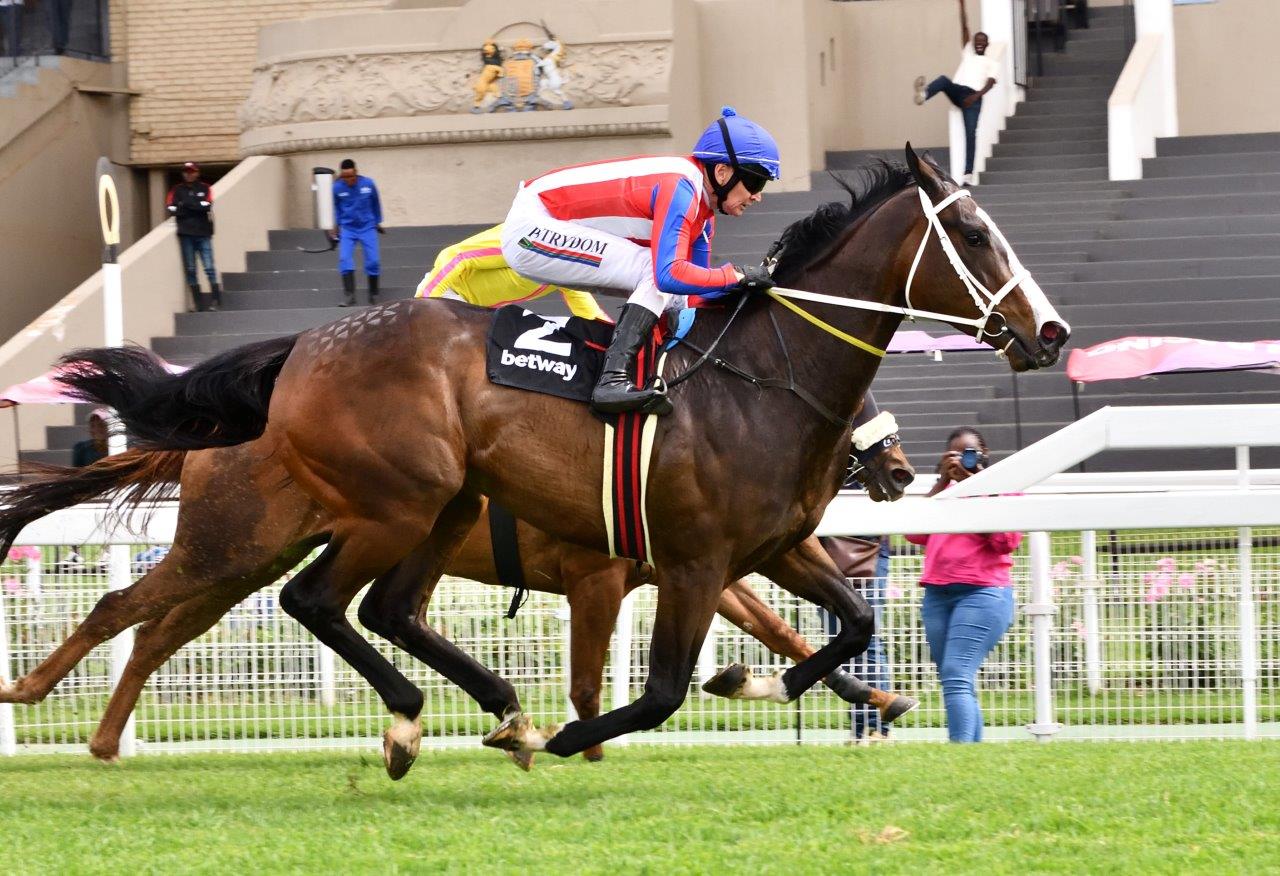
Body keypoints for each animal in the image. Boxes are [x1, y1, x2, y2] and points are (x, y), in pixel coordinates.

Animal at [0, 147, 1070, 778]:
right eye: (972, 233)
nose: (1050, 333)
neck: (761, 379)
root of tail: (297, 349)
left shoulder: (761, 550)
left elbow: (844, 626)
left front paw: (788, 689)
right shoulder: (679, 562)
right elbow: (654, 689)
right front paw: (580, 736)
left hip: (403, 517)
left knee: (358, 611)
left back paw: (483, 713)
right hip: (348, 516)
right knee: (269, 606)